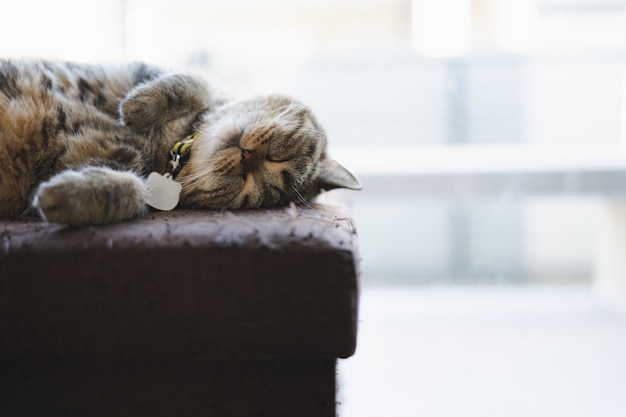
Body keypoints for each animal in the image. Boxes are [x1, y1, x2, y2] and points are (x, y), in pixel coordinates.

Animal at [0, 59, 360, 224]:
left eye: (248, 188)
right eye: (280, 153)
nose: (249, 157)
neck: (170, 146)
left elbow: (133, 190)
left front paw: (69, 194)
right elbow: (197, 81)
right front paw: (138, 106)